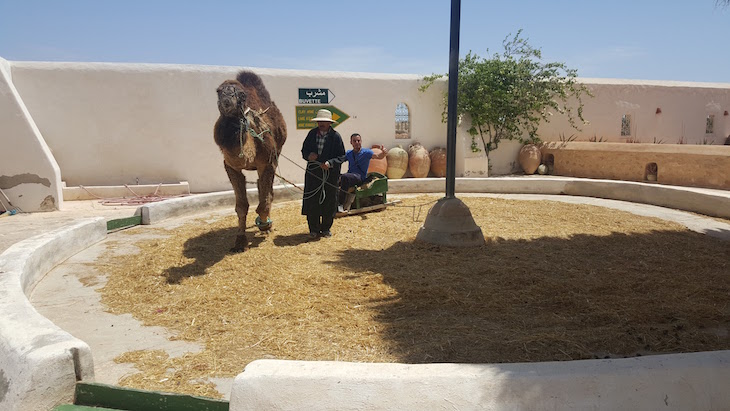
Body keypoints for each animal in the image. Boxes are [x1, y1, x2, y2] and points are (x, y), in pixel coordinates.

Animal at [213, 71, 284, 251]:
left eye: (242, 94)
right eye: (218, 91)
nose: (227, 100)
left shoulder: (268, 162)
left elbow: (265, 200)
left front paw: (265, 225)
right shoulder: (231, 166)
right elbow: (241, 206)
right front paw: (239, 241)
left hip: (277, 153)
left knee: (267, 191)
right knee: (260, 186)